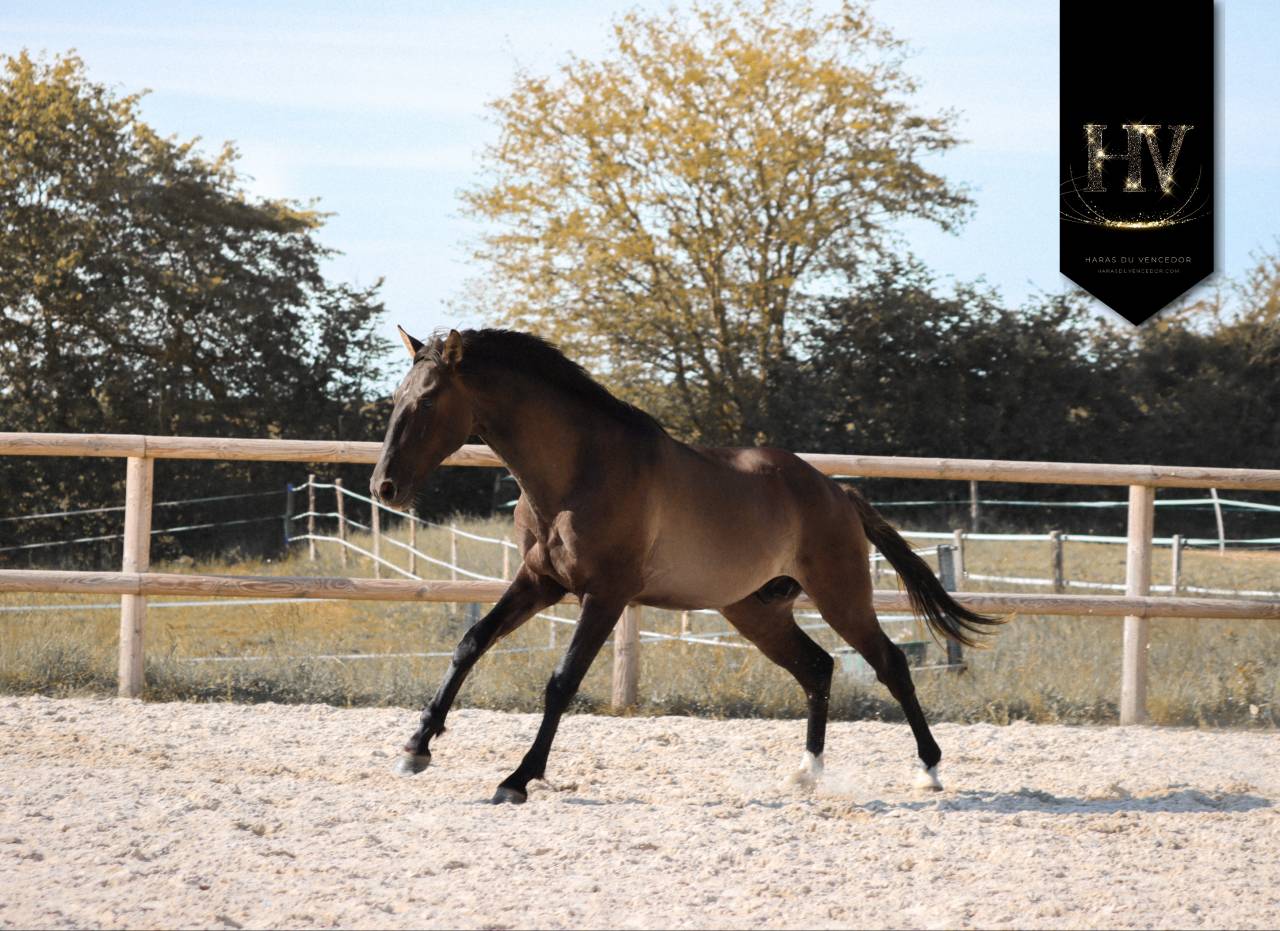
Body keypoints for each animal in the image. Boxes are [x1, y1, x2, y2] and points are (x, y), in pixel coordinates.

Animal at [370, 327, 1001, 804]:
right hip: (755, 610)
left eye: (426, 401)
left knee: (890, 663)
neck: (581, 470)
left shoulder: (606, 595)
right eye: (396, 397)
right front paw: (416, 747)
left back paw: (929, 770)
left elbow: (561, 682)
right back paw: (806, 772)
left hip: (841, 597)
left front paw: (518, 779)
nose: (384, 487)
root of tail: (838, 492)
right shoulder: (539, 582)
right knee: (817, 668)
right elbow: (471, 644)